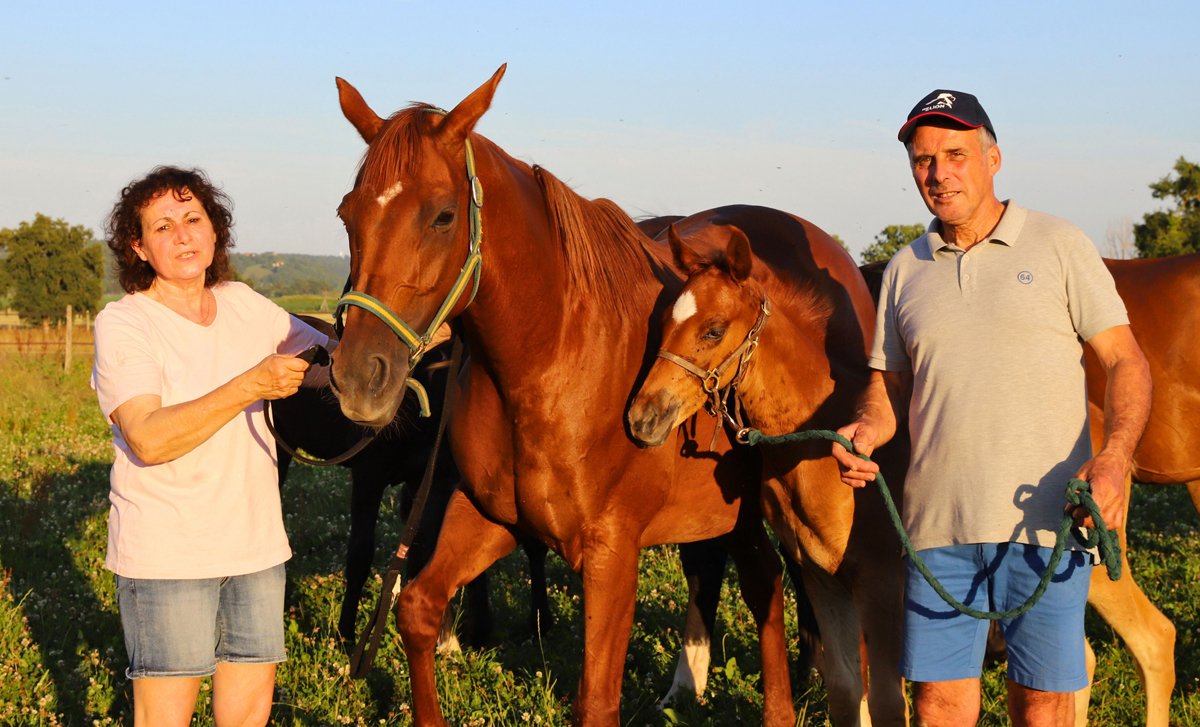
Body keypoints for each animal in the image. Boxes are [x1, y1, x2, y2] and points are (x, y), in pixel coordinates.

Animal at [271, 316, 552, 650]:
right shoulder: (369, 477)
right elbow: (360, 555)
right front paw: (347, 635)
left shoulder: (430, 480)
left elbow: (427, 548)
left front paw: (453, 635)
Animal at [327, 66, 796, 725]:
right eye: (348, 215)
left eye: (443, 217)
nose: (359, 378)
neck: (550, 360)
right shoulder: (491, 516)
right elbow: (417, 610)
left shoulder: (611, 554)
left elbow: (595, 700)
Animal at [628, 225, 910, 726]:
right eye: (662, 322)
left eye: (714, 329)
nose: (643, 419)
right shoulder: (821, 573)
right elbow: (845, 691)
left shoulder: (881, 581)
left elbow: (887, 702)